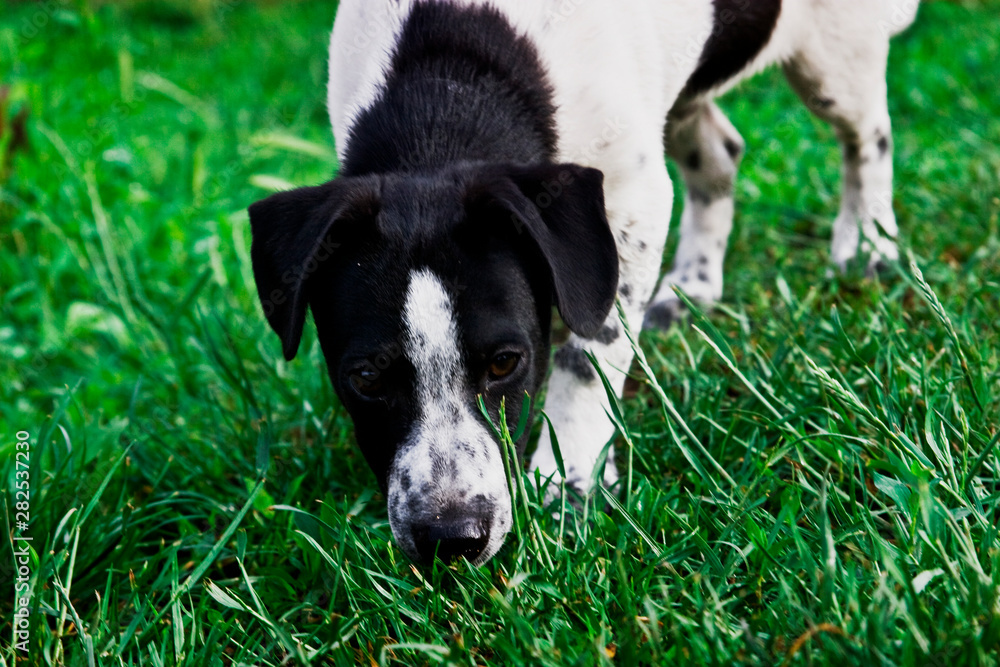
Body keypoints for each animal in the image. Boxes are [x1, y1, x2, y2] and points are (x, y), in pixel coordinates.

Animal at [250, 0, 920, 568]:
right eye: (364, 378)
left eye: (506, 363)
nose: (450, 541)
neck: (448, 91)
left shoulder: (629, 208)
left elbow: (586, 354)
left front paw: (569, 483)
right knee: (720, 152)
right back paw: (693, 288)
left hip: (833, 56)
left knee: (869, 132)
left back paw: (868, 244)